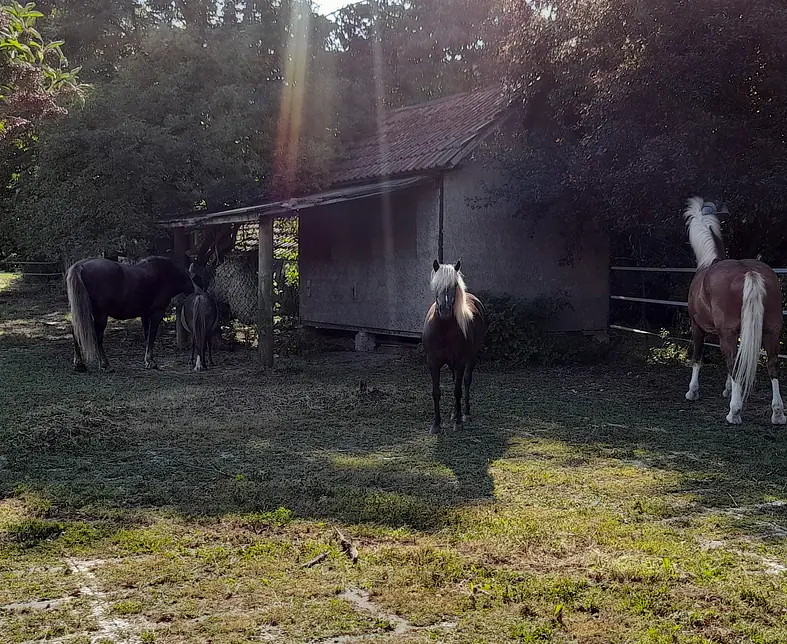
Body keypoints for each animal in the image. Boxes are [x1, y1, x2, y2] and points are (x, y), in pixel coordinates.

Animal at [65, 254, 193, 370]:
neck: (165, 274)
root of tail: (80, 266)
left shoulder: (145, 315)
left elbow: (147, 336)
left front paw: (147, 360)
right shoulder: (157, 313)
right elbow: (151, 337)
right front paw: (151, 362)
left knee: (76, 332)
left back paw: (79, 365)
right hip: (100, 315)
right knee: (98, 337)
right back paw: (105, 365)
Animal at [424, 260, 486, 436]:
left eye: (454, 286)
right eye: (436, 285)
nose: (444, 310)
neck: (444, 329)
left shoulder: (460, 363)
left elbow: (457, 391)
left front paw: (458, 423)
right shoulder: (433, 363)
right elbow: (436, 392)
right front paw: (436, 425)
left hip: (471, 358)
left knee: (465, 382)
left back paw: (464, 414)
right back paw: (453, 412)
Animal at [680, 196, 784, 428]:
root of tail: (749, 271)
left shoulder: (697, 327)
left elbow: (697, 358)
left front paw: (692, 392)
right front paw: (727, 390)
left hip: (726, 333)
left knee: (734, 365)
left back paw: (734, 412)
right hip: (772, 331)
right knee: (772, 365)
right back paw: (778, 413)